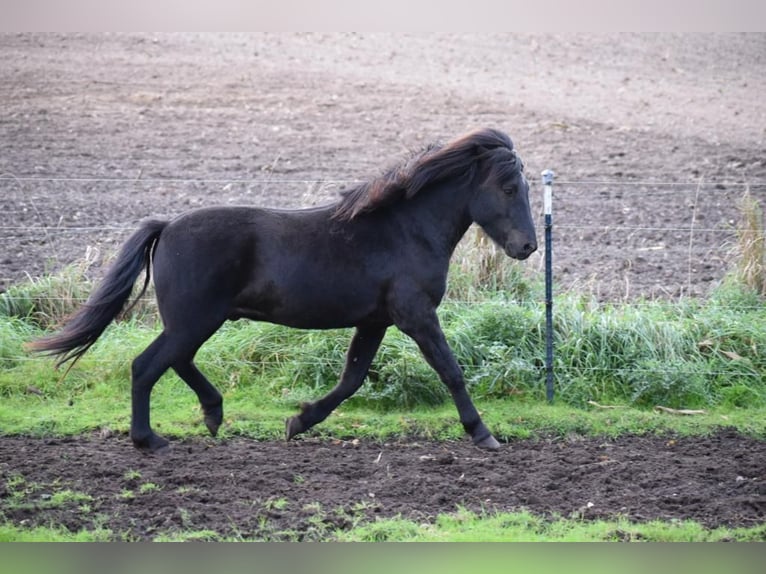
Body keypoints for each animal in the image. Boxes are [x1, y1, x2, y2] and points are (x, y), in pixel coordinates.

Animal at [28, 129, 536, 454]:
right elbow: (451, 370)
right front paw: (482, 433)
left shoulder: (376, 321)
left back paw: (212, 414)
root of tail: (167, 227)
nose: (528, 246)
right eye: (510, 187)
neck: (405, 229)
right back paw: (149, 439)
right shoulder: (416, 315)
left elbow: (352, 379)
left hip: (194, 321)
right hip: (195, 320)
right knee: (147, 365)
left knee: (175, 361)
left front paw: (298, 421)